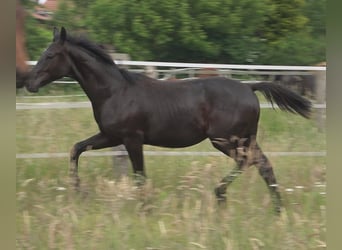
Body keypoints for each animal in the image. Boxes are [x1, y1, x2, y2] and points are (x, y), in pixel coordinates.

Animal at [26, 28, 310, 214]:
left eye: (50, 55)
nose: (29, 83)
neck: (116, 91)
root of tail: (250, 87)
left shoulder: (132, 138)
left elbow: (139, 175)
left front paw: (146, 210)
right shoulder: (111, 136)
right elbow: (76, 148)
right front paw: (78, 191)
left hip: (226, 139)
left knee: (248, 161)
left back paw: (220, 195)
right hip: (245, 138)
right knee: (264, 165)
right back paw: (277, 210)